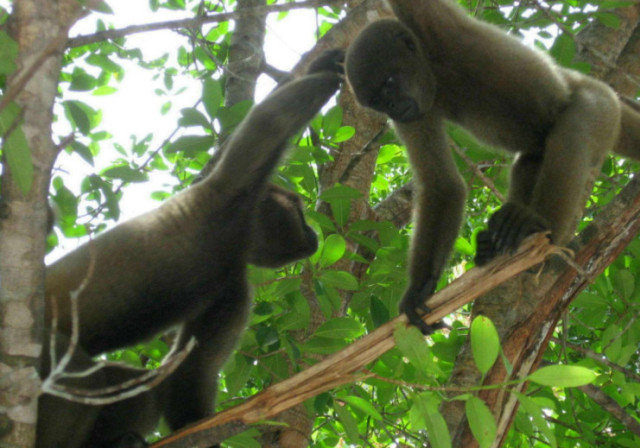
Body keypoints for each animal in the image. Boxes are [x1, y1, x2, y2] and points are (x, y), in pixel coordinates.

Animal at [36, 50, 344, 448]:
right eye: (299, 211)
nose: (313, 234)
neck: (235, 234)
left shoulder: (233, 289)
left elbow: (191, 374)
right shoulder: (225, 194)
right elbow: (269, 121)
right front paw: (331, 67)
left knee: (135, 390)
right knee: (78, 372)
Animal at [344, 0, 640, 332]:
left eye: (389, 84)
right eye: (378, 103)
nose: (392, 107)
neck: (436, 73)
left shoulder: (438, 31)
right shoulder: (414, 113)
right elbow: (442, 184)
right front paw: (420, 289)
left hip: (600, 105)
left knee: (574, 126)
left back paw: (539, 227)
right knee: (530, 160)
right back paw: (499, 241)